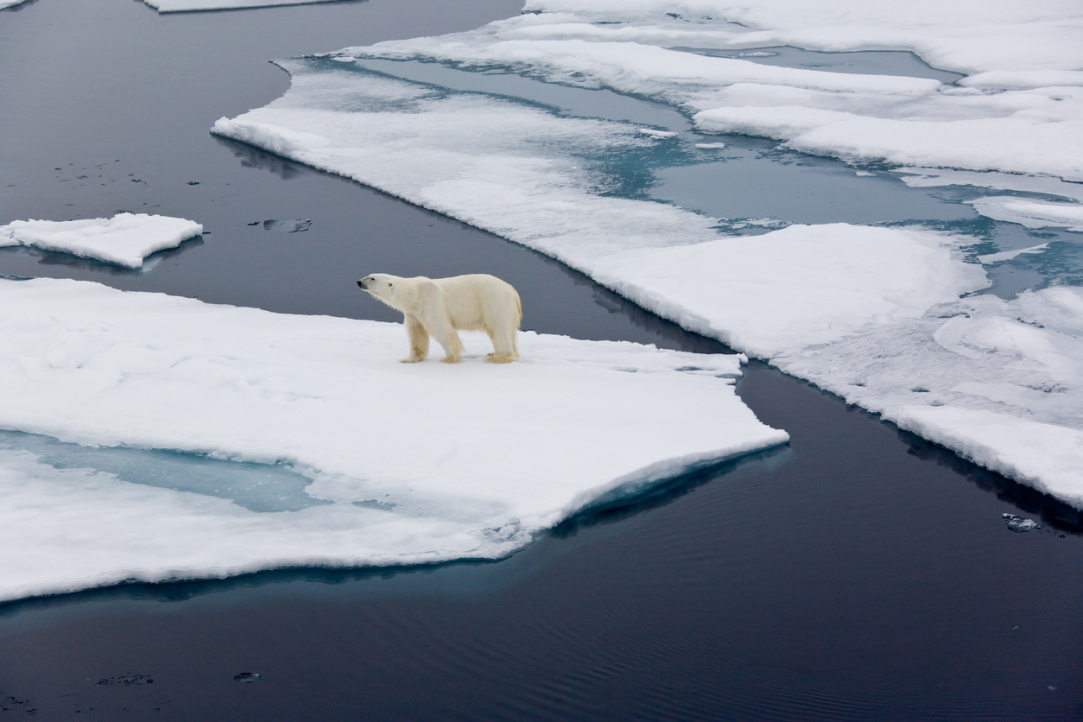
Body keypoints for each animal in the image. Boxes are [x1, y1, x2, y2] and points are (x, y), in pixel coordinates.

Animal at [357, 273, 522, 363]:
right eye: (368, 275)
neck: (414, 294)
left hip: (494, 302)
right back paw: (496, 353)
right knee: (509, 333)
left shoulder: (431, 300)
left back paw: (496, 357)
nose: (359, 282)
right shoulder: (413, 313)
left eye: (372, 278)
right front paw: (408, 359)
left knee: (498, 329)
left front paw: (449, 358)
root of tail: (513, 292)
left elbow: (441, 328)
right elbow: (416, 335)